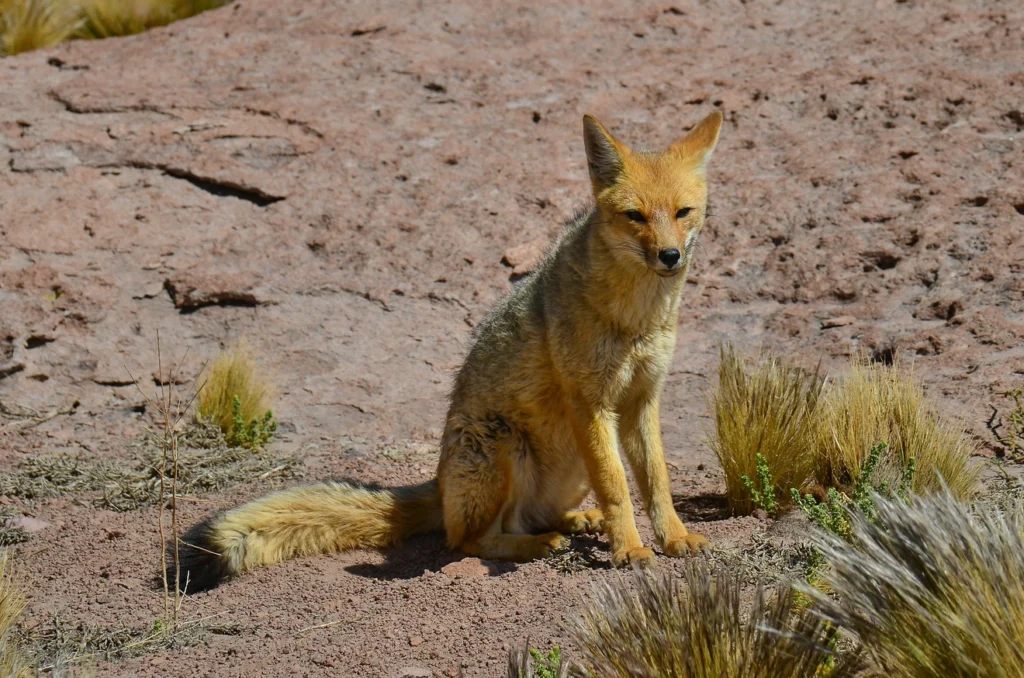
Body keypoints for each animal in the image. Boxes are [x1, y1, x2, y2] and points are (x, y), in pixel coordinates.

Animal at [174, 110, 720, 589]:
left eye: (682, 213)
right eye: (634, 217)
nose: (670, 256)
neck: (636, 319)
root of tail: (437, 484)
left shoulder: (642, 400)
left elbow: (656, 481)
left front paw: (675, 538)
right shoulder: (591, 404)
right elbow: (618, 487)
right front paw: (630, 549)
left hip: (563, 470)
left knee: (530, 517)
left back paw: (573, 521)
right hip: (505, 447)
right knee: (471, 539)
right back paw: (540, 544)